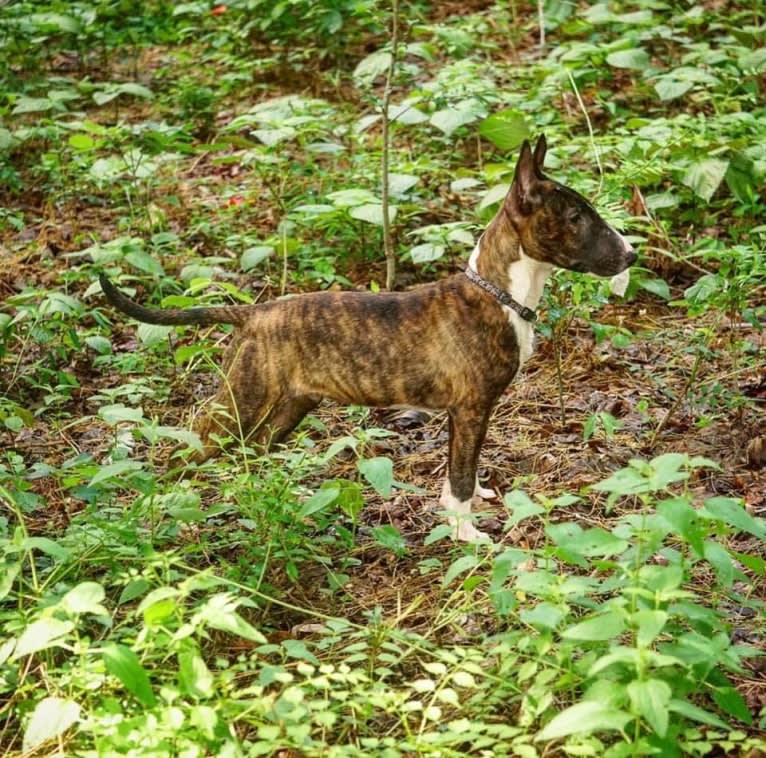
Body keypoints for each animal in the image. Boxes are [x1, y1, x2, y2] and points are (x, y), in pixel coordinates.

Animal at [99, 135, 636, 540]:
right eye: (575, 218)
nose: (631, 254)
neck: (497, 293)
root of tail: (252, 312)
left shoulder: (466, 415)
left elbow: (460, 473)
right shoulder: (469, 408)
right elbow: (460, 476)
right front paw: (468, 535)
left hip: (286, 409)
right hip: (241, 402)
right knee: (182, 448)